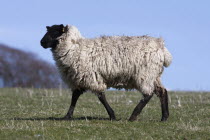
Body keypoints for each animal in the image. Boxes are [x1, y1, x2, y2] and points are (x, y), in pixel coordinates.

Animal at [40, 24, 171, 121]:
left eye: (55, 32)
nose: (41, 42)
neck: (74, 47)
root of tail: (161, 47)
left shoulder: (91, 77)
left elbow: (101, 97)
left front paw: (112, 115)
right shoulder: (80, 79)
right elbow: (75, 97)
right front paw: (67, 116)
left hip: (145, 75)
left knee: (148, 94)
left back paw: (133, 116)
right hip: (154, 76)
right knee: (162, 91)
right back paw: (164, 117)